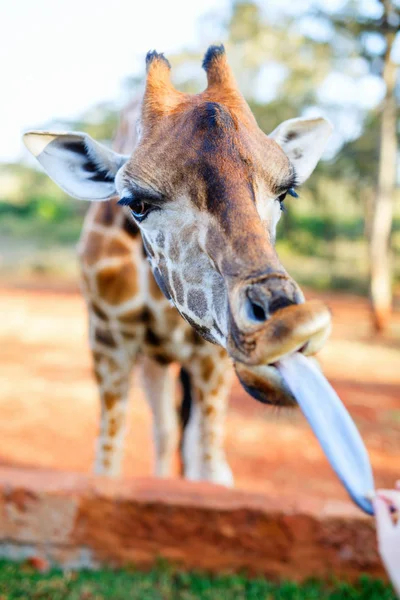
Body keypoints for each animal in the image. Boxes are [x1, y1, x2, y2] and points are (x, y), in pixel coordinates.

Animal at [23, 45, 332, 488]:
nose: (285, 329)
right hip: (153, 360)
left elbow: (210, 466)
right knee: (167, 430)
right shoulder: (109, 339)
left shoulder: (211, 357)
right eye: (137, 203)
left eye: (285, 194)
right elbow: (108, 464)